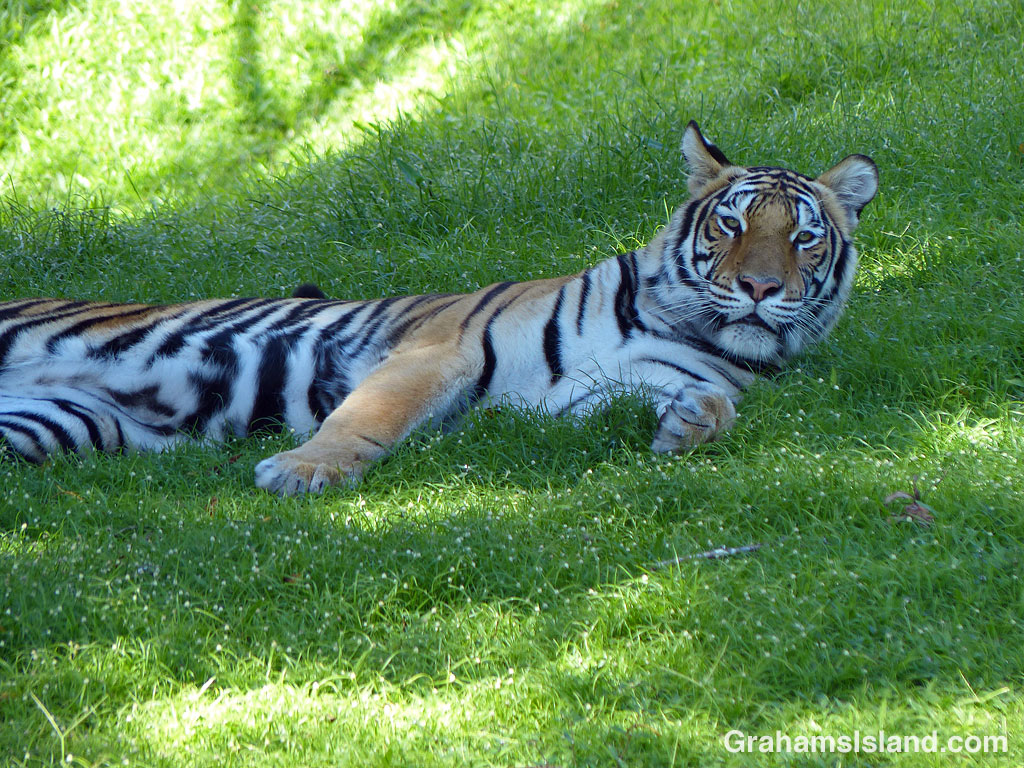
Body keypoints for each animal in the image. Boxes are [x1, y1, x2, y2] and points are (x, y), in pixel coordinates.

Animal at [0, 122, 877, 495]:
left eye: (802, 239)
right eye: (732, 225)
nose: (760, 289)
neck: (670, 321)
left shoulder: (571, 400)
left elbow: (700, 401)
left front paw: (692, 423)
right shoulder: (441, 350)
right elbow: (366, 419)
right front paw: (301, 470)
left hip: (58, 426)